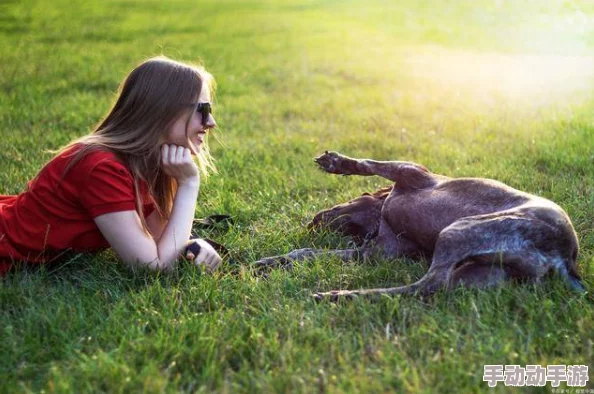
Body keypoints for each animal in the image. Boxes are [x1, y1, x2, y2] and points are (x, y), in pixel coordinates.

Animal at [252, 149, 580, 300]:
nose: (313, 221)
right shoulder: (374, 254)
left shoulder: (408, 171)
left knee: (427, 284)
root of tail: (566, 260)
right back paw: (342, 295)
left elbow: (368, 164)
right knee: (425, 288)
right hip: (477, 272)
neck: (383, 215)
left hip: (459, 230)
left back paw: (339, 295)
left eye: (357, 196)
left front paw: (339, 163)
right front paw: (271, 261)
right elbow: (305, 253)